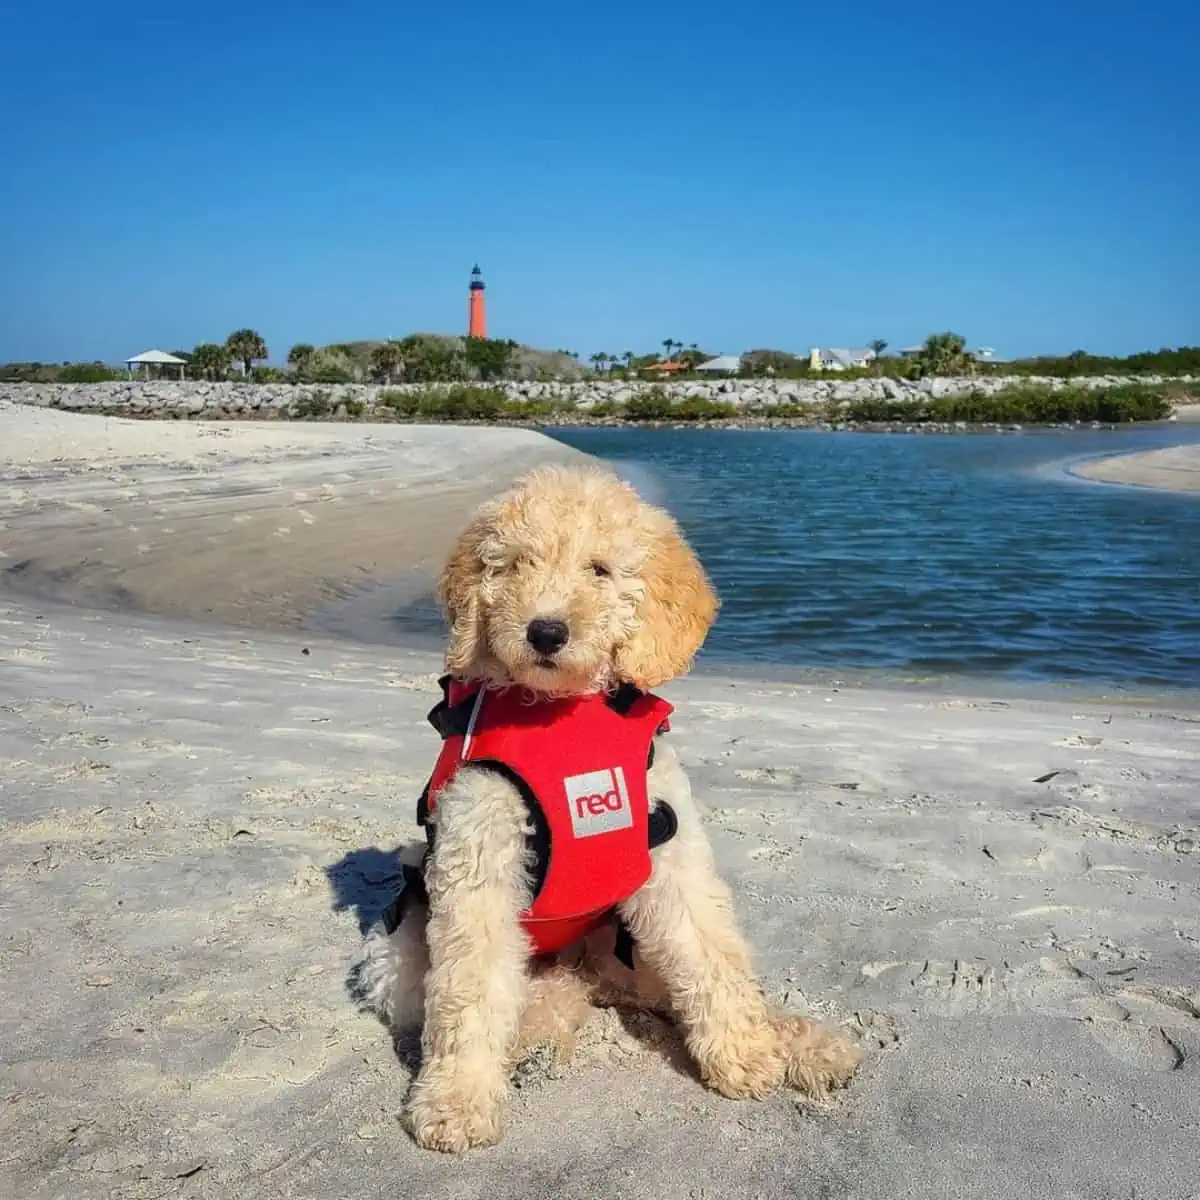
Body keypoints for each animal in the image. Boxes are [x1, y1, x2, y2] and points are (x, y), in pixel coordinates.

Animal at [350, 460, 859, 1152]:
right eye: (515, 564)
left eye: (599, 569)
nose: (545, 631)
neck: (564, 715)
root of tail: (589, 975)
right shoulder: (478, 858)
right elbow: (469, 991)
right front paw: (455, 1103)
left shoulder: (670, 849)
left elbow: (713, 954)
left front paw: (747, 1053)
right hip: (394, 958)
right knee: (505, 993)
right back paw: (535, 1033)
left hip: (626, 946)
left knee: (662, 989)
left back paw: (805, 1044)